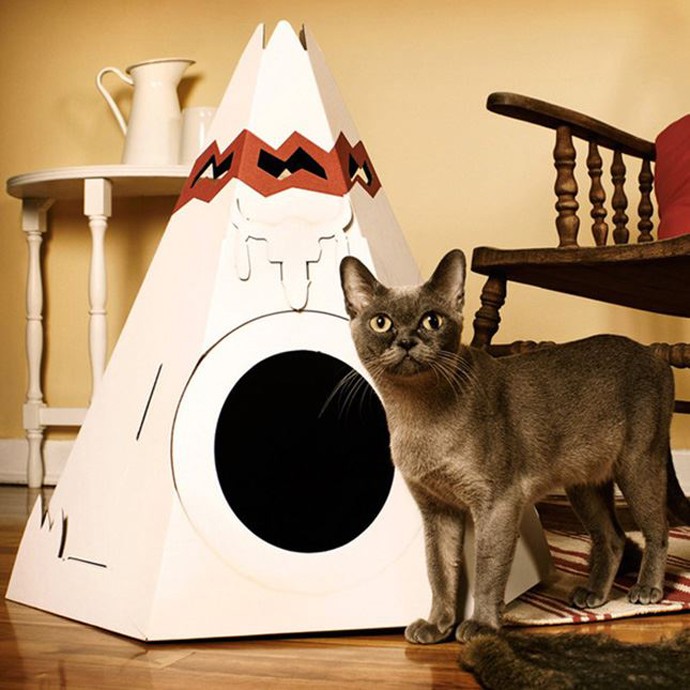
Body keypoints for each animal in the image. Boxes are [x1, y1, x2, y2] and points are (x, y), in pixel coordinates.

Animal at [339, 248, 690, 643]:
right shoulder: (437, 509)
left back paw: (647, 590)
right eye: (381, 323)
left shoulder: (497, 502)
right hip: (584, 483)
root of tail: (654, 354)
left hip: (638, 464)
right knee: (613, 538)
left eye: (432, 320)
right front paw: (437, 626)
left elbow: (487, 570)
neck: (417, 414)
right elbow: (439, 571)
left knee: (658, 528)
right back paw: (593, 595)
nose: (406, 341)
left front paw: (481, 626)